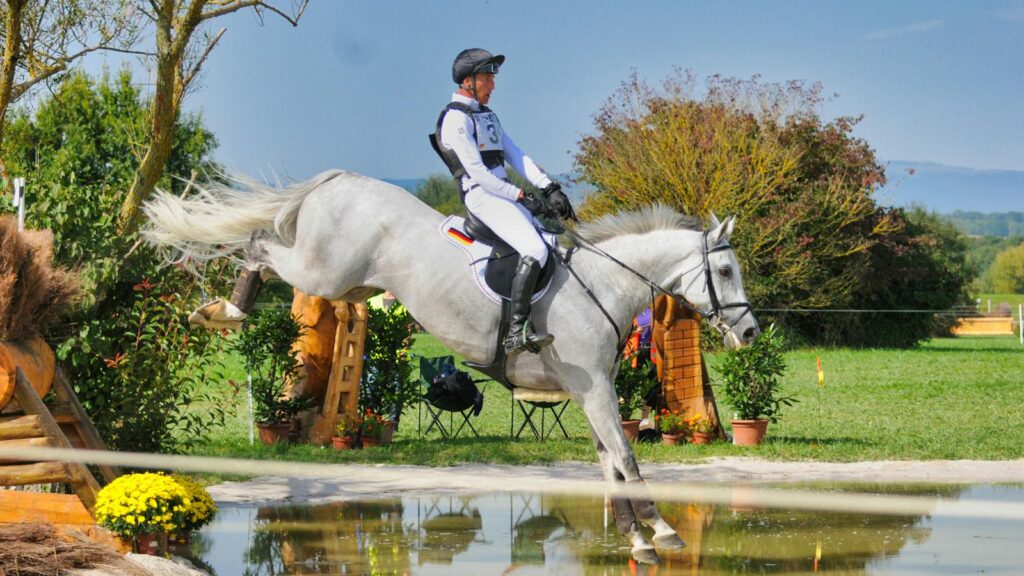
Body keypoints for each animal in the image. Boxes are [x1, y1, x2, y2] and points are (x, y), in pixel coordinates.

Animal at [143, 169, 760, 564]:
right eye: (725, 271)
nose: (751, 332)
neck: (604, 283)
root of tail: (337, 179)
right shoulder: (596, 391)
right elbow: (628, 459)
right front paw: (663, 530)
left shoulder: (591, 393)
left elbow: (611, 462)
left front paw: (635, 539)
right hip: (324, 270)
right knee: (258, 244)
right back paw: (222, 310)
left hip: (349, 283)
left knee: (270, 250)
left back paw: (219, 309)